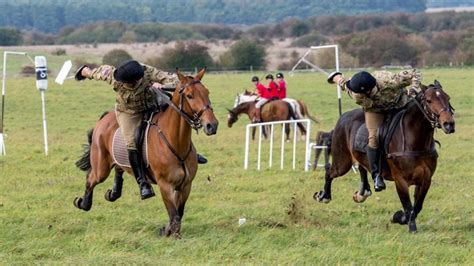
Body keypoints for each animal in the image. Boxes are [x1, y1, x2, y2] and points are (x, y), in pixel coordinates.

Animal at [72, 68, 218, 237]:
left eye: (207, 92)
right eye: (189, 95)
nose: (212, 125)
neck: (174, 141)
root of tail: (105, 118)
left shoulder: (185, 185)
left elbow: (178, 214)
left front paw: (166, 230)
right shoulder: (165, 185)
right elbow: (174, 216)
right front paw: (171, 234)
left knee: (118, 169)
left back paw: (112, 193)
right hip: (101, 168)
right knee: (91, 179)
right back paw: (83, 203)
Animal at [314, 81, 456, 233]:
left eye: (448, 98)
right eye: (429, 100)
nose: (449, 124)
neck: (415, 141)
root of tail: (343, 117)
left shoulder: (426, 179)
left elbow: (417, 207)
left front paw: (399, 217)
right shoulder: (400, 180)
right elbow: (408, 207)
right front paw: (409, 226)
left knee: (362, 168)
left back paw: (361, 194)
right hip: (342, 163)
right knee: (329, 171)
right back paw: (324, 196)